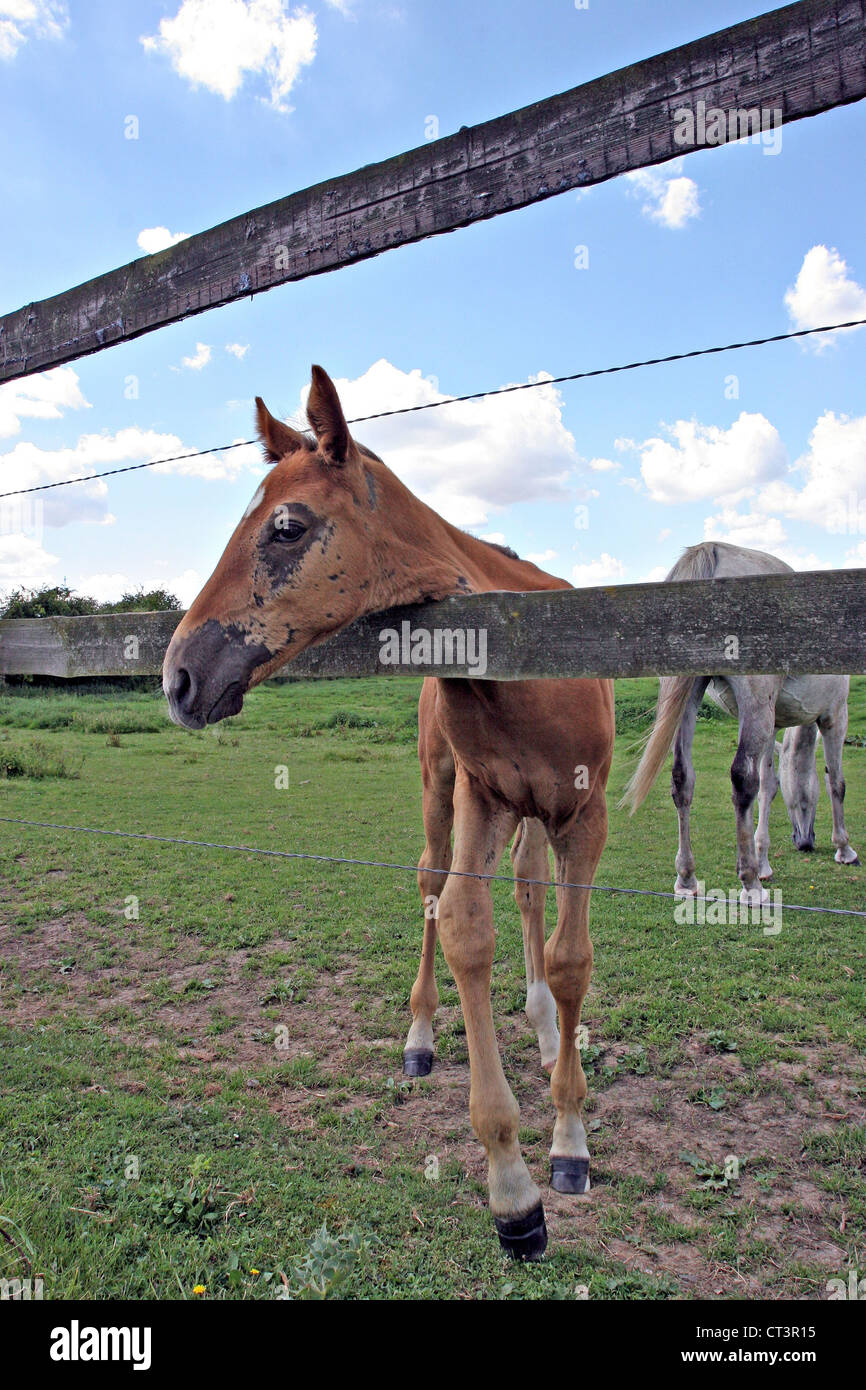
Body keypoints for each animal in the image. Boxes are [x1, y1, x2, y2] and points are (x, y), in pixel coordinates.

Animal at [163, 365, 615, 1260]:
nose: (180, 677)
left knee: (531, 895)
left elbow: (571, 957)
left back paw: (548, 1028)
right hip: (444, 789)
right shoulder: (480, 795)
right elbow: (466, 928)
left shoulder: (587, 816)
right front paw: (513, 1192)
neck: (527, 673)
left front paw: (570, 1142)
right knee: (436, 885)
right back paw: (422, 1038)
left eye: (287, 527)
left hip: (538, 815)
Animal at [623, 540, 859, 902]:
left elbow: (768, 788)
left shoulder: (771, 725)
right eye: (802, 799)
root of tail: (712, 554)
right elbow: (836, 783)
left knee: (682, 780)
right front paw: (844, 849)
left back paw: (687, 878)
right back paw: (749, 884)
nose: (804, 843)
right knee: (741, 779)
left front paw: (763, 862)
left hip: (690, 699)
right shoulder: (834, 717)